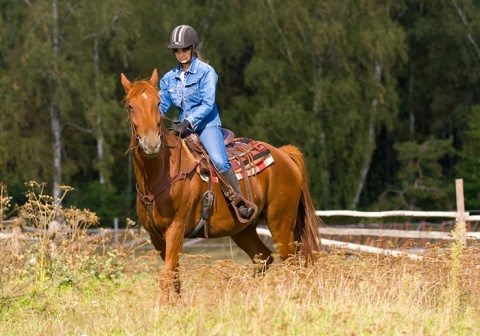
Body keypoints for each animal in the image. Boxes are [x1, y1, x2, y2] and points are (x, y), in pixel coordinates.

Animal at [120, 69, 322, 304]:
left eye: (157, 102)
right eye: (130, 105)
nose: (151, 143)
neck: (161, 173)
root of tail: (283, 154)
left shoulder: (175, 230)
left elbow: (167, 274)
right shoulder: (156, 236)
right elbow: (175, 275)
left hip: (281, 223)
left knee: (292, 263)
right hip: (244, 229)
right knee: (263, 258)